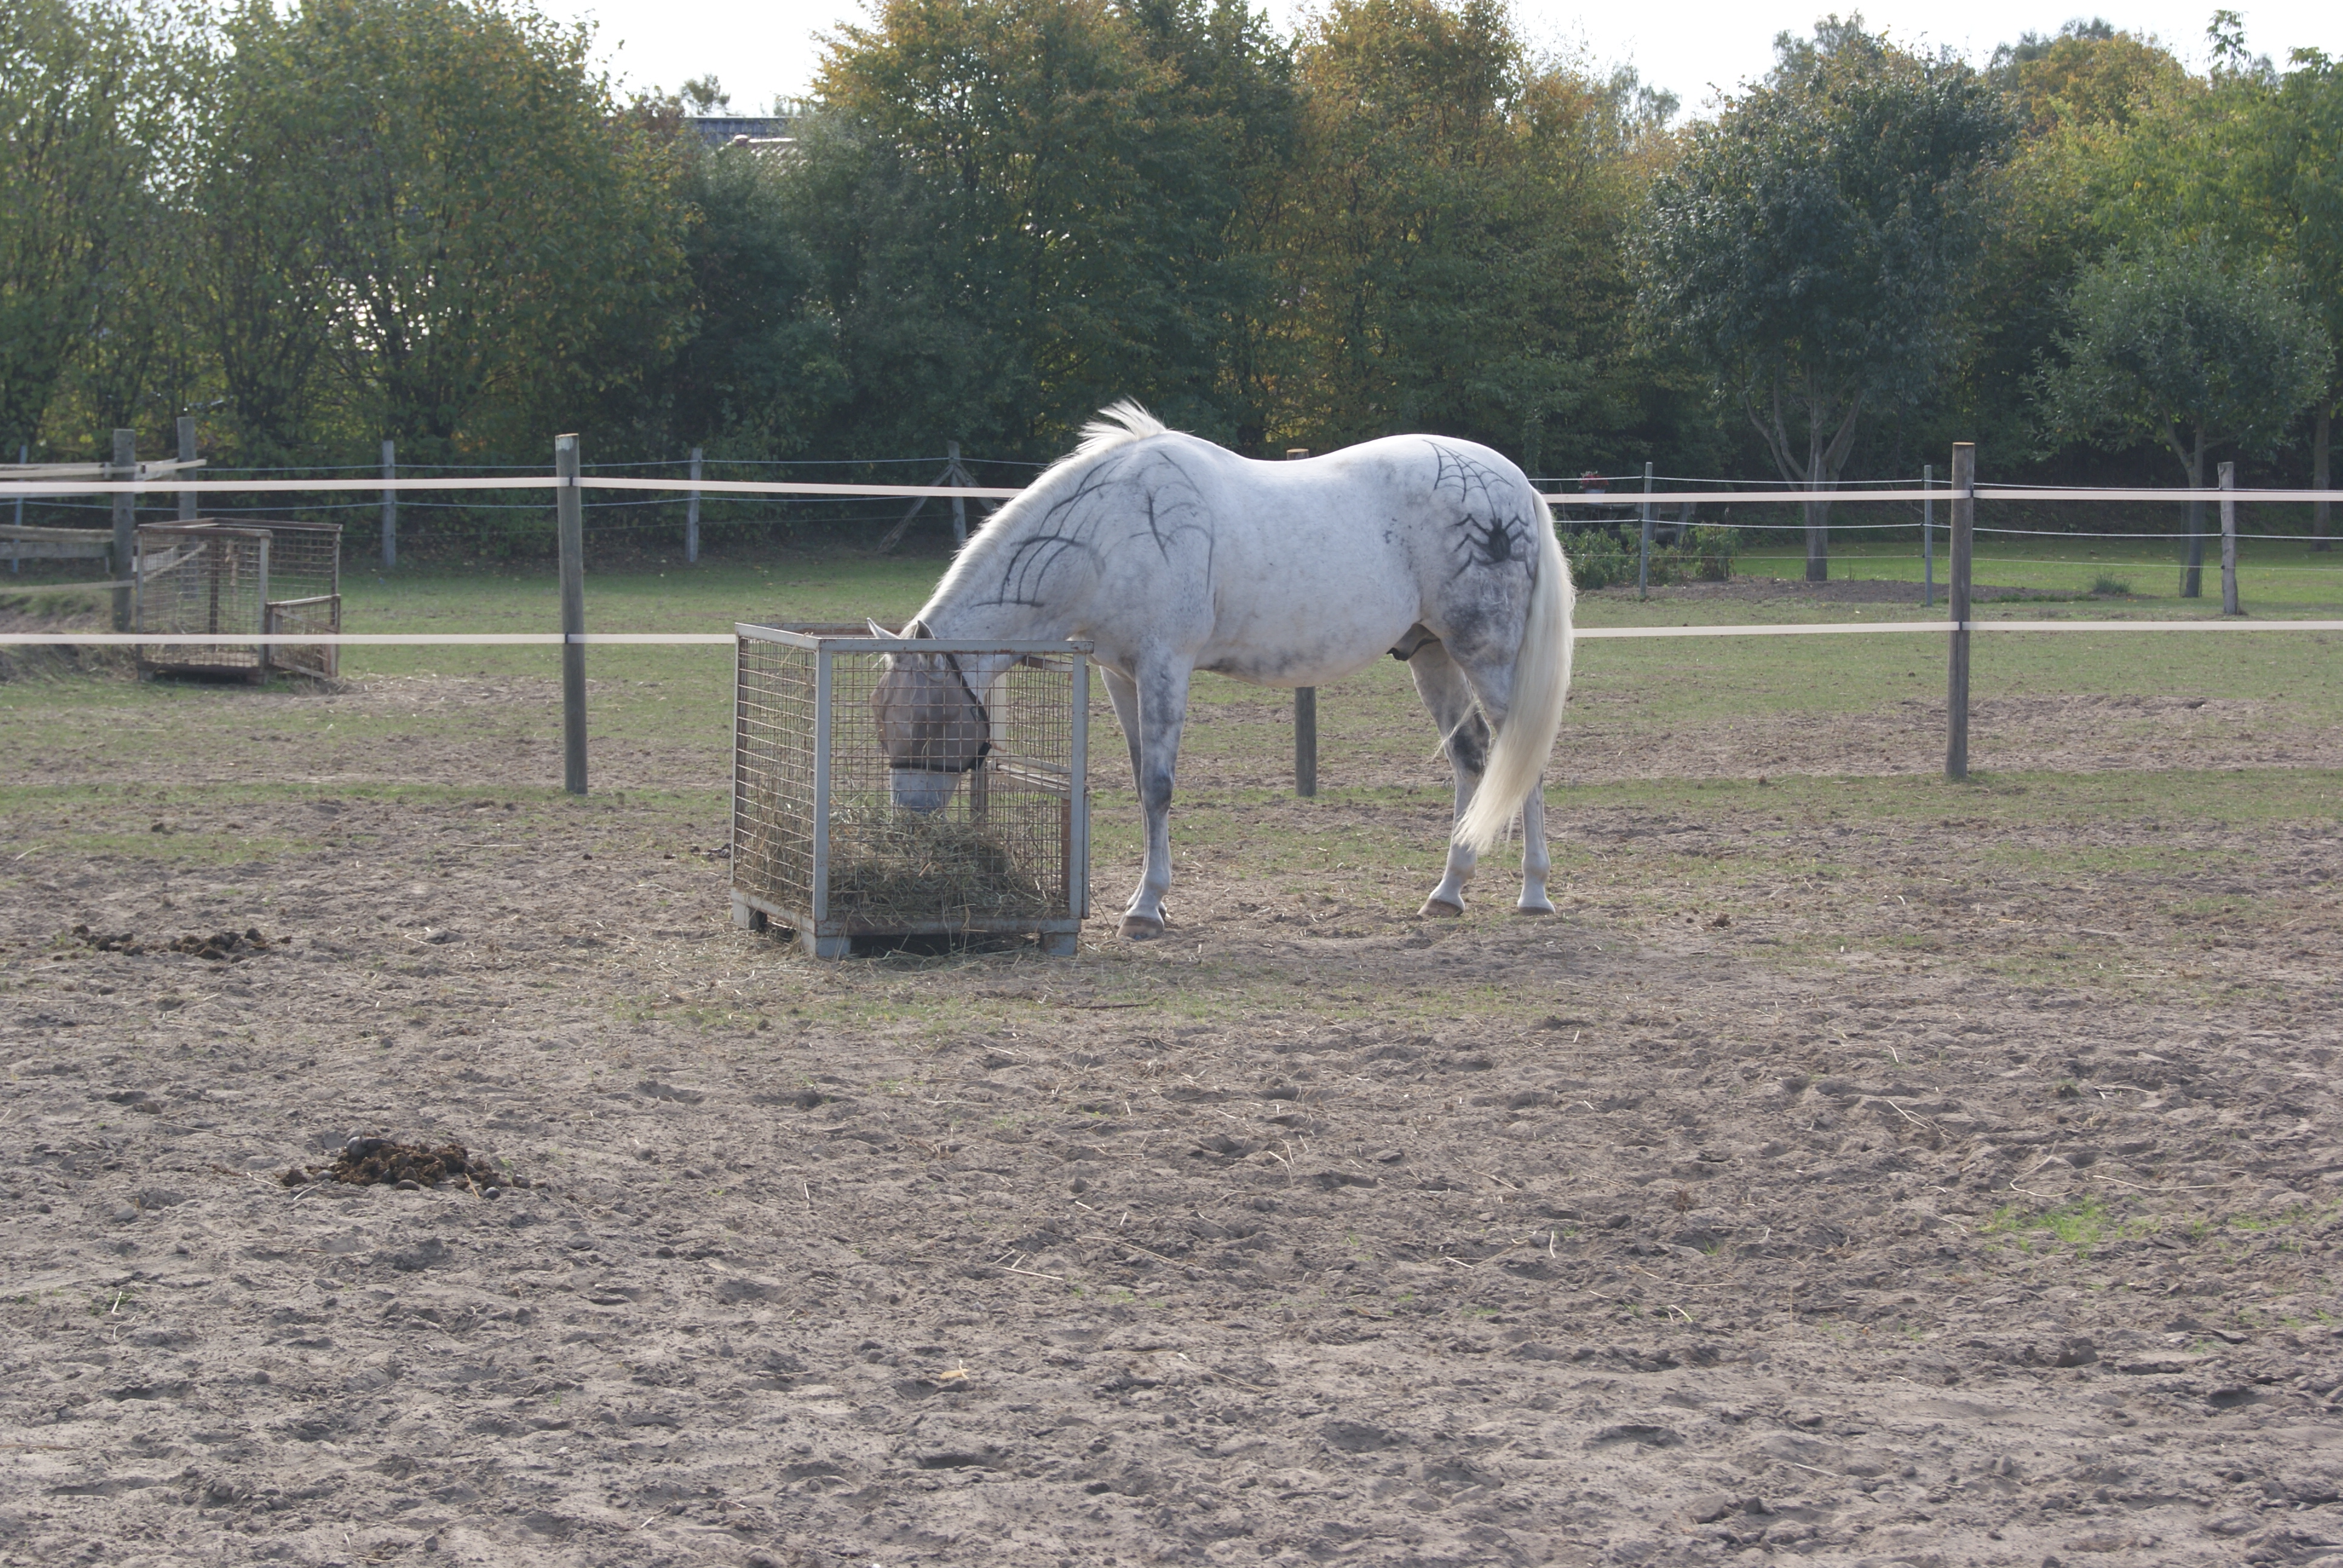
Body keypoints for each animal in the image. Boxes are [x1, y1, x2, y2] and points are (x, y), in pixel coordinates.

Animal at [871, 402, 1575, 940]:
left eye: (929, 720)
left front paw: (1146, 909)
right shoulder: (1120, 676)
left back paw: (1534, 893)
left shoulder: (1165, 666)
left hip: (1486, 655)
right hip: (1432, 655)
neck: (1108, 530)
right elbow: (1139, 783)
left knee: (1520, 759)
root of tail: (1513, 484)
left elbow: (1159, 787)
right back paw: (1448, 891)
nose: (909, 819)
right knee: (1470, 759)